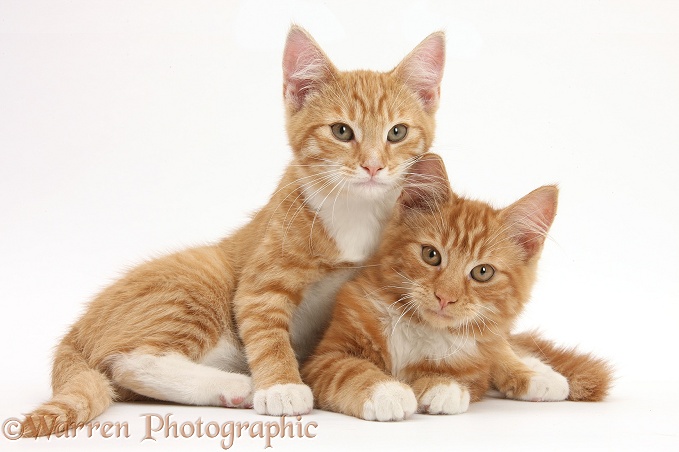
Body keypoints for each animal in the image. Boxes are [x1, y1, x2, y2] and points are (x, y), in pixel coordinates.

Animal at [21, 26, 446, 436]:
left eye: (397, 132)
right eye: (342, 131)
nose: (373, 166)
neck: (356, 210)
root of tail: (77, 328)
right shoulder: (261, 281)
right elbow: (265, 326)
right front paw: (282, 387)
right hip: (198, 280)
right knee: (130, 360)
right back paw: (238, 384)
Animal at [302, 154, 612, 420]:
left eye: (483, 272)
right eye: (431, 255)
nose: (444, 297)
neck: (420, 328)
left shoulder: (474, 364)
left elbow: (467, 373)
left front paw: (442, 386)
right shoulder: (324, 357)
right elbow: (350, 370)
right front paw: (386, 391)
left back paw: (538, 375)